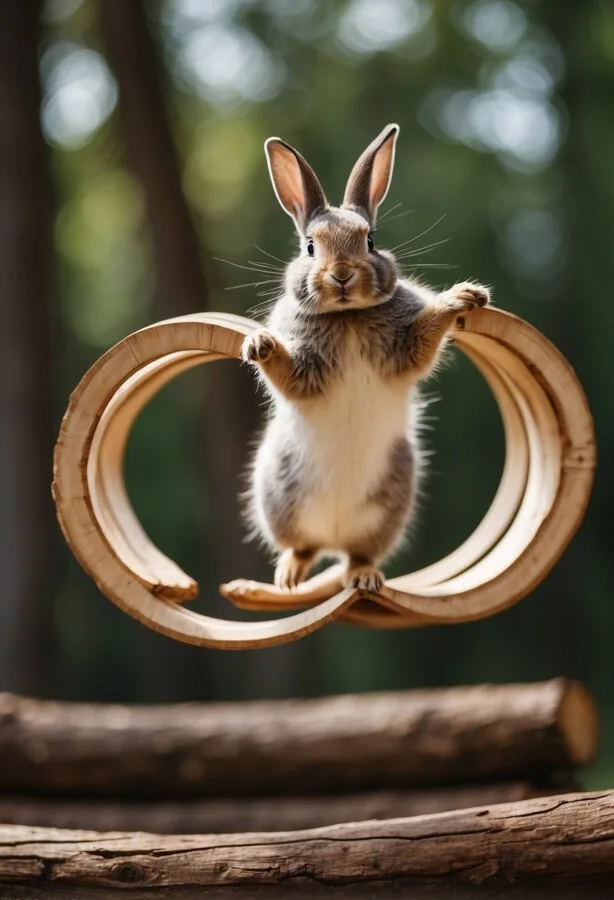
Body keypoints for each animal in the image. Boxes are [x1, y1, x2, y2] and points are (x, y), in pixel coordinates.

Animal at [241, 123, 490, 594]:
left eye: (371, 241)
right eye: (309, 247)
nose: (342, 274)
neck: (348, 316)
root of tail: (334, 538)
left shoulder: (405, 348)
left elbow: (427, 335)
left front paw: (463, 297)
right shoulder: (306, 371)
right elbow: (286, 371)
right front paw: (258, 344)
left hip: (387, 506)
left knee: (357, 556)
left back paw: (364, 578)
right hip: (281, 497)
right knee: (304, 547)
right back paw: (288, 577)